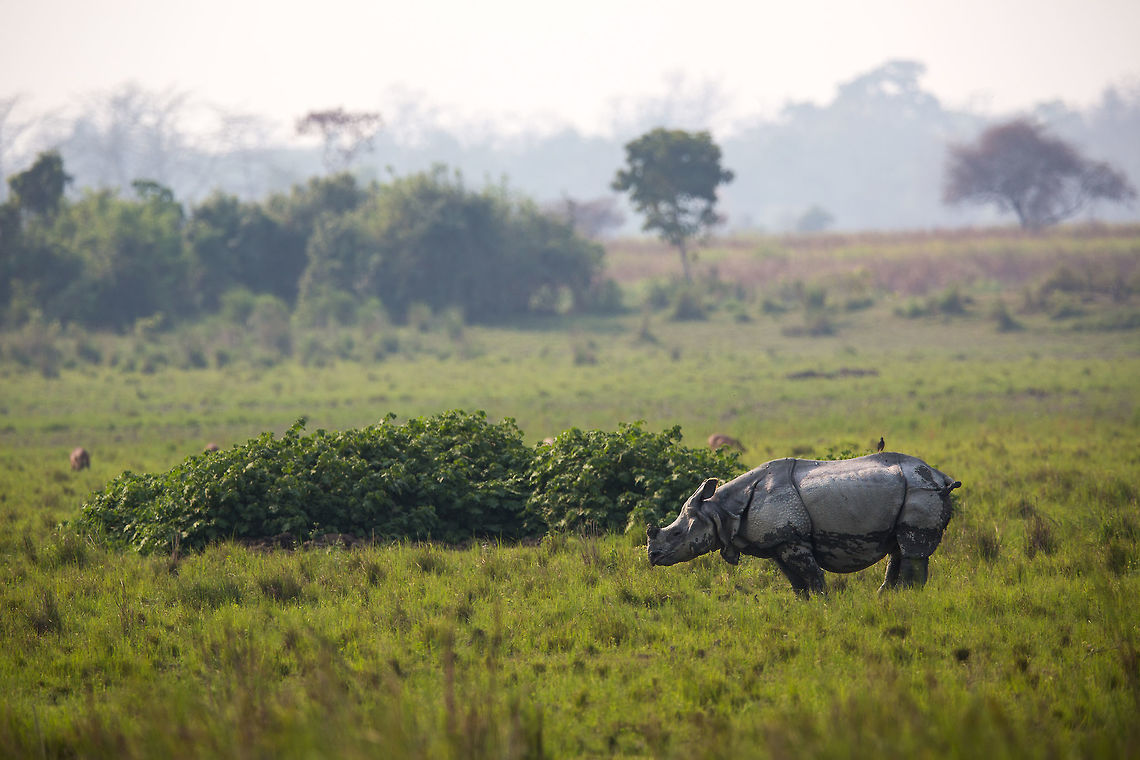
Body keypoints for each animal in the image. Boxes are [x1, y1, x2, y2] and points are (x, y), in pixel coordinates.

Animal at [646, 452, 961, 596]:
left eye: (676, 533)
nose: (652, 556)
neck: (721, 511)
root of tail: (942, 477)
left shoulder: (793, 540)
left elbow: (813, 578)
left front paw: (825, 605)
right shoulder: (779, 543)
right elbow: (797, 584)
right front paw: (806, 607)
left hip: (920, 490)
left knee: (912, 548)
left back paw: (907, 598)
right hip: (910, 492)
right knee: (898, 549)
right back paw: (886, 597)